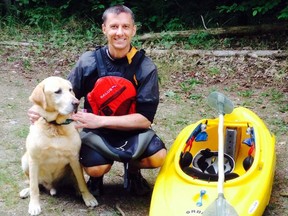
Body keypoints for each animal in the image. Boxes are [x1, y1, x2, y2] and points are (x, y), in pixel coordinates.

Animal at [19, 77, 98, 215]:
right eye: (58, 91)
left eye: (70, 89)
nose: (76, 103)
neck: (55, 126)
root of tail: (51, 187)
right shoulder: (34, 159)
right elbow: (34, 187)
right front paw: (34, 205)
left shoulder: (74, 158)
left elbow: (82, 181)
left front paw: (88, 198)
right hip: (25, 161)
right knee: (34, 183)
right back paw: (26, 190)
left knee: (75, 180)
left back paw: (77, 191)